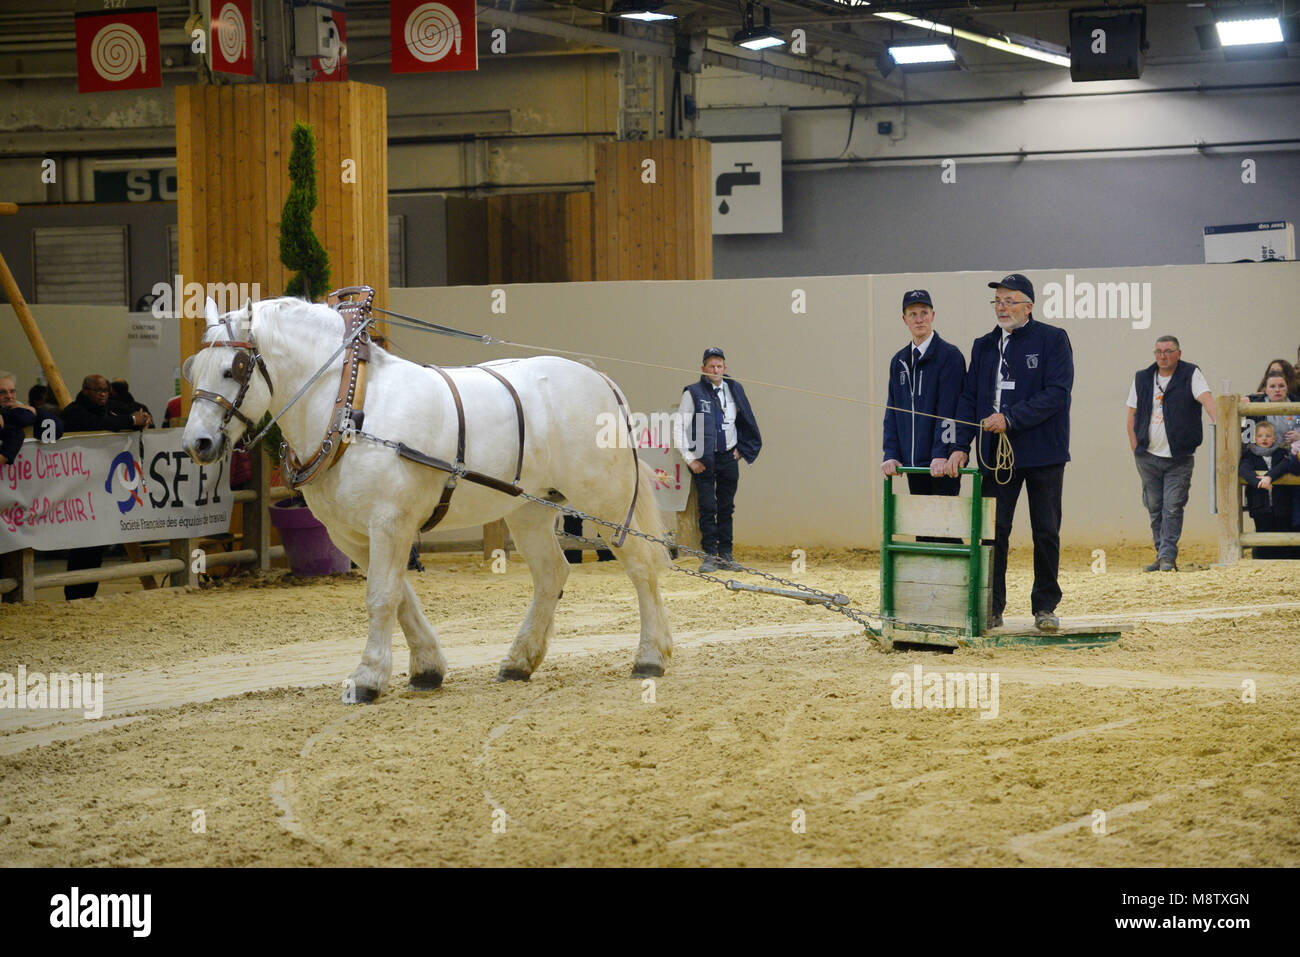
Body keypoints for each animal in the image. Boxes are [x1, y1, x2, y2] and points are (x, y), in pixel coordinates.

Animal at [183, 295, 676, 696]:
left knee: (640, 567)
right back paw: (519, 661)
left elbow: (382, 596)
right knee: (552, 574)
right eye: (193, 370)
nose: (197, 443)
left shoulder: (389, 523)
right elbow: (400, 596)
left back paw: (650, 656)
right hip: (530, 508)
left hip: (606, 501)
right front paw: (426, 669)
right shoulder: (352, 535)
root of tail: (600, 379)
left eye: (235, 368)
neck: (350, 407)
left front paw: (368, 678)